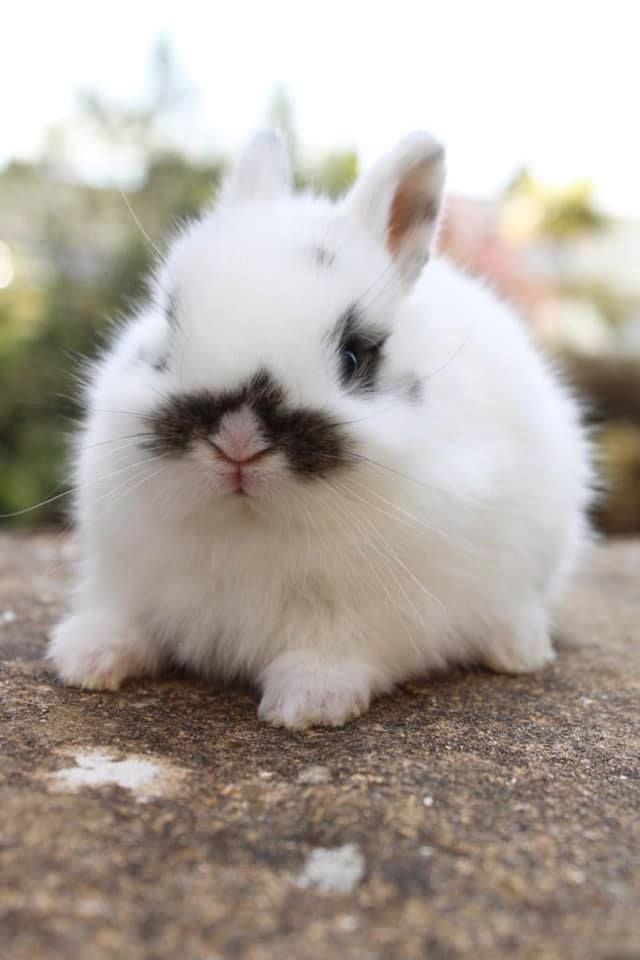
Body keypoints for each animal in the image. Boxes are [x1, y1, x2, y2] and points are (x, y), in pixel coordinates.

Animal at [48, 129, 594, 729]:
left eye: (355, 356)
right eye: (167, 333)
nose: (237, 443)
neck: (250, 528)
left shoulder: (374, 615)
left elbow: (337, 651)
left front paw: (307, 704)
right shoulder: (127, 574)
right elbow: (125, 616)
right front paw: (85, 658)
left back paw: (520, 649)